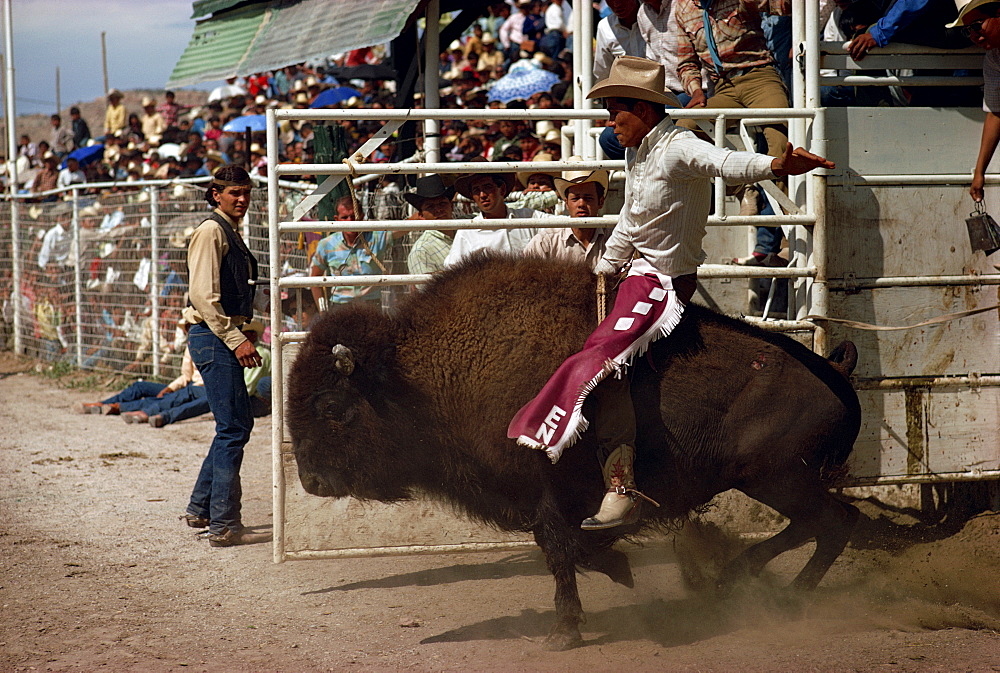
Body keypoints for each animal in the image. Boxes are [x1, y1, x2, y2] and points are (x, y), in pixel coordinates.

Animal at [288, 251, 860, 644]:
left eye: (330, 406)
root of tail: (836, 374)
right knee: (826, 523)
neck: (415, 376)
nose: (311, 480)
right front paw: (618, 570)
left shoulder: (554, 489)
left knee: (831, 522)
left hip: (775, 478)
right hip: (778, 481)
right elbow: (575, 544)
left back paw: (777, 593)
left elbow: (558, 545)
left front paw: (565, 628)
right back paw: (740, 579)